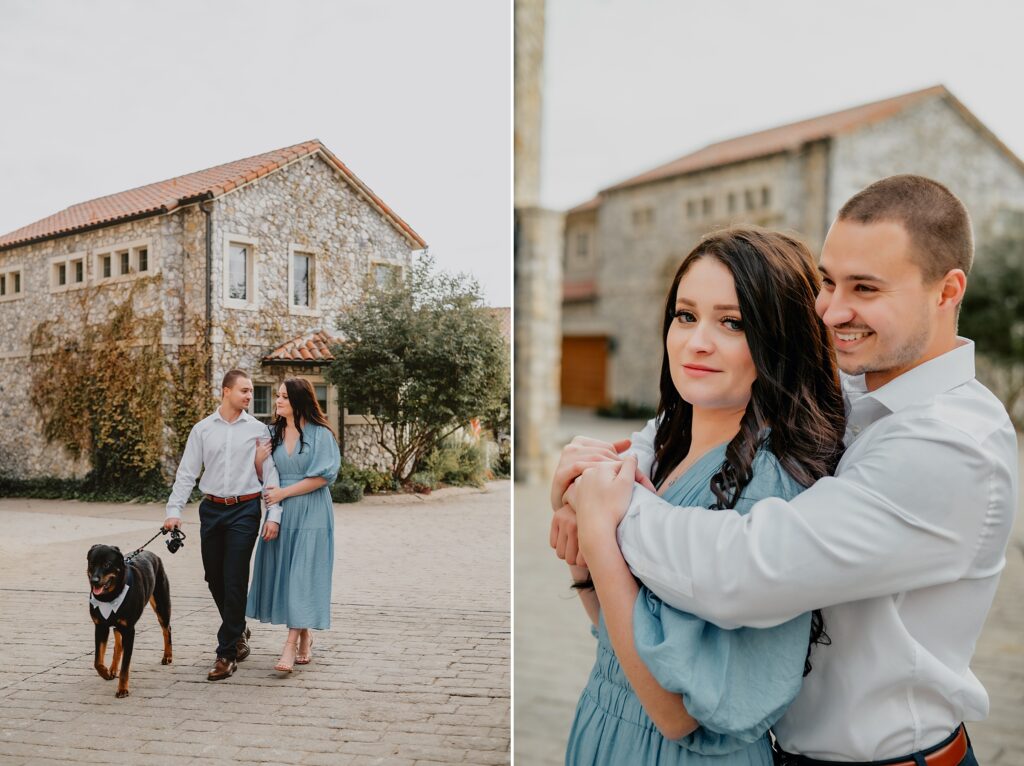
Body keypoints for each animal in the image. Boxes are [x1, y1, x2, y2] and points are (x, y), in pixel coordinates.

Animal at [87, 540, 171, 696]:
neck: (110, 596)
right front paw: (105, 673)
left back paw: (168, 656)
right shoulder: (100, 626)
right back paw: (113, 669)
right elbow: (97, 661)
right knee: (118, 645)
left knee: (166, 629)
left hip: (161, 603)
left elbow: (125, 666)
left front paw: (122, 689)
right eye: (92, 564)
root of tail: (152, 554)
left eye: (107, 564)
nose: (94, 580)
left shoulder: (129, 630)